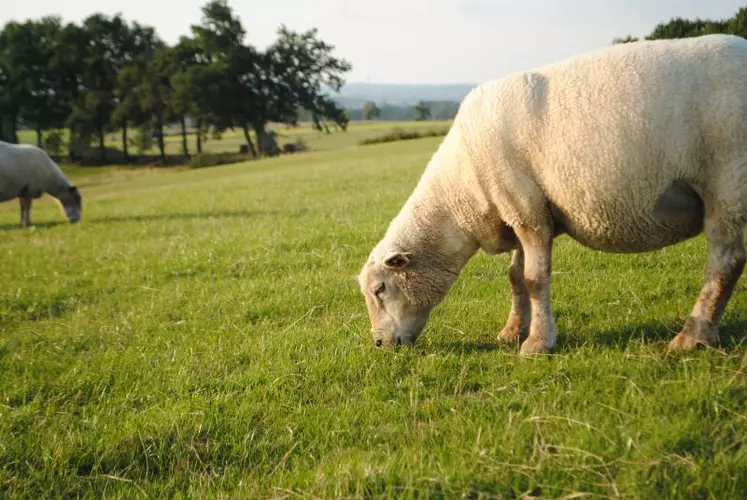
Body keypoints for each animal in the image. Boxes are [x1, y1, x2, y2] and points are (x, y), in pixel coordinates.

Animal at [356, 34, 747, 356]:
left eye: (380, 289)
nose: (379, 343)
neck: (460, 199)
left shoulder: (526, 208)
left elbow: (534, 279)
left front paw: (537, 344)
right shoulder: (516, 208)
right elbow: (515, 277)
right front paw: (513, 331)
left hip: (727, 178)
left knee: (725, 261)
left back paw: (693, 337)